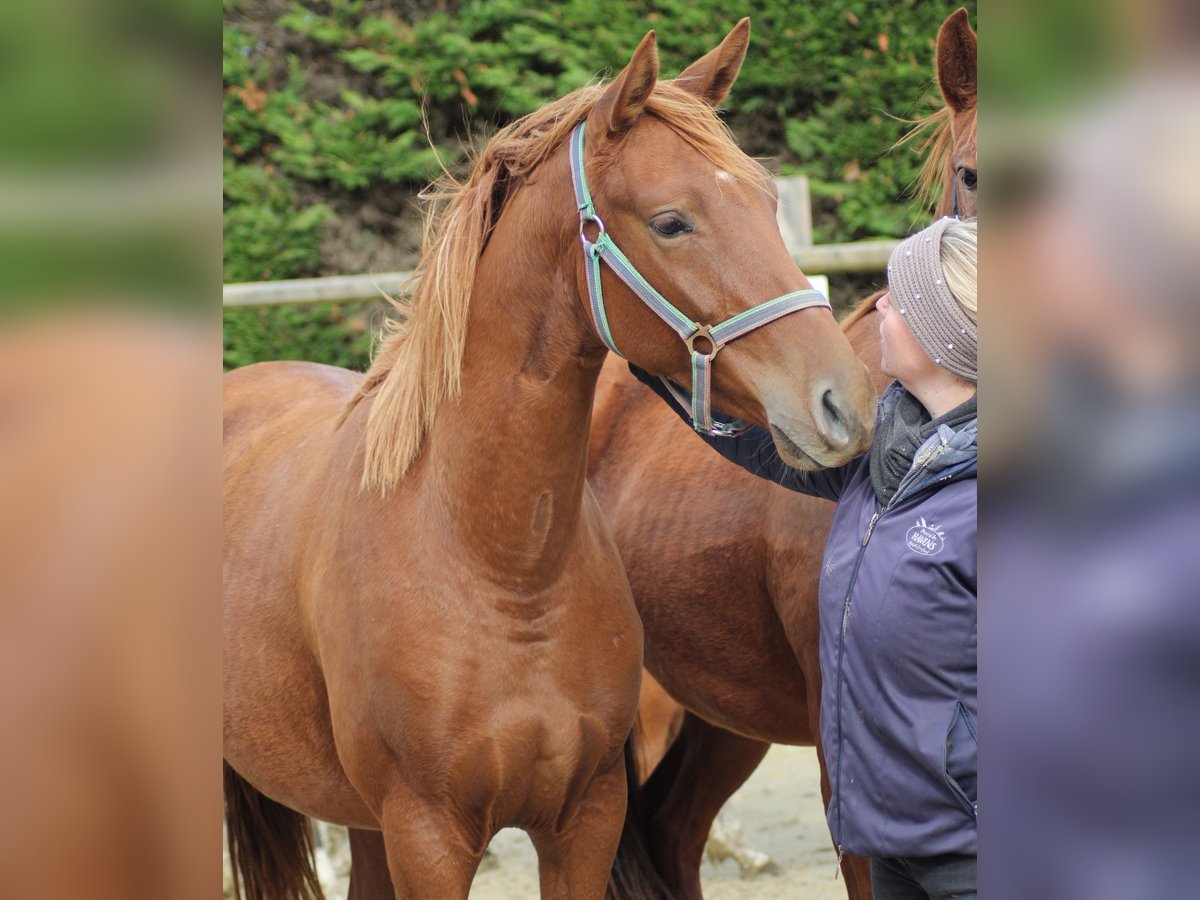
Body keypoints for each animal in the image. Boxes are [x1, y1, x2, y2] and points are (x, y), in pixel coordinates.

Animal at [220, 21, 873, 900]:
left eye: (769, 204)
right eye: (672, 222)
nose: (844, 401)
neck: (499, 562)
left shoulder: (583, 822)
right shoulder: (429, 837)